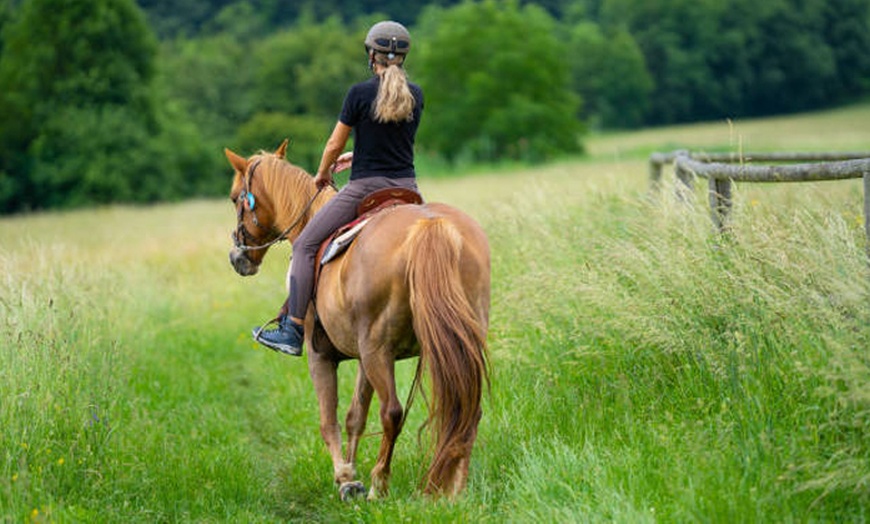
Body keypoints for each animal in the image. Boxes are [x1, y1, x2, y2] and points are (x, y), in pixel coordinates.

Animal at [223, 139, 490, 500]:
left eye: (235, 197)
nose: (237, 257)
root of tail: (430, 226)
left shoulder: (321, 356)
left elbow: (329, 420)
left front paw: (346, 478)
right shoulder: (365, 357)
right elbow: (355, 417)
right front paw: (350, 472)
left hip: (379, 351)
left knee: (392, 411)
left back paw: (380, 484)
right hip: (441, 344)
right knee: (467, 408)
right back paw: (454, 490)